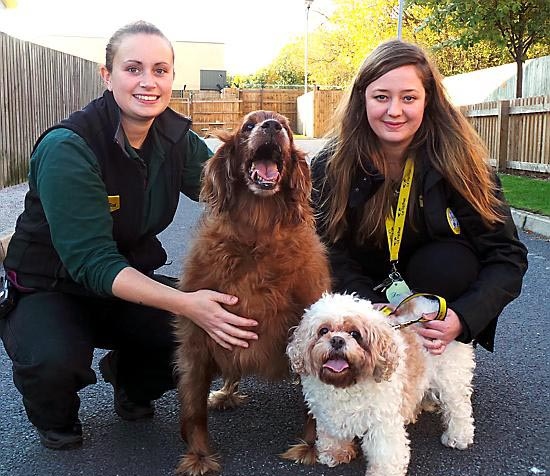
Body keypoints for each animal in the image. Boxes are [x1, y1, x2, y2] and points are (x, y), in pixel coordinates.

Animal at [175, 109, 332, 474]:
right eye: (248, 126)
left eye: (286, 127)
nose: (272, 126)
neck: (258, 231)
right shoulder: (198, 335)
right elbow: (193, 408)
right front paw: (199, 457)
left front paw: (311, 447)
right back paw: (226, 393)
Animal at [286, 294, 476, 476]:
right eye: (323, 330)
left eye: (355, 334)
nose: (337, 340)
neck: (347, 383)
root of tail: (432, 306)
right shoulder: (327, 412)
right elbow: (331, 434)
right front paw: (335, 453)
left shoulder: (382, 422)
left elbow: (385, 452)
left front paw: (384, 472)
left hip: (451, 379)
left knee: (459, 409)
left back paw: (458, 436)